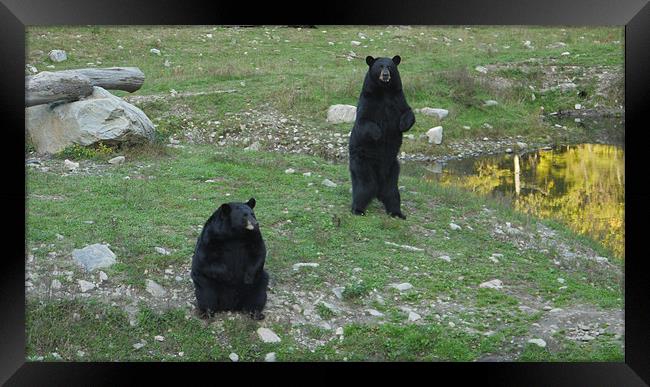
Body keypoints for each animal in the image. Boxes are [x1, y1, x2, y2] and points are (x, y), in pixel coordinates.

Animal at [350, 55, 416, 220]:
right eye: (380, 66)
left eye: (390, 66)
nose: (385, 74)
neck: (384, 91)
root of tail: (378, 190)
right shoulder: (368, 101)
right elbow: (364, 122)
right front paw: (379, 133)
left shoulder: (398, 98)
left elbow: (408, 112)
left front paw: (402, 125)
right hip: (363, 162)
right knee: (364, 187)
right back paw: (358, 209)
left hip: (393, 169)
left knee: (392, 193)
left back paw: (397, 213)